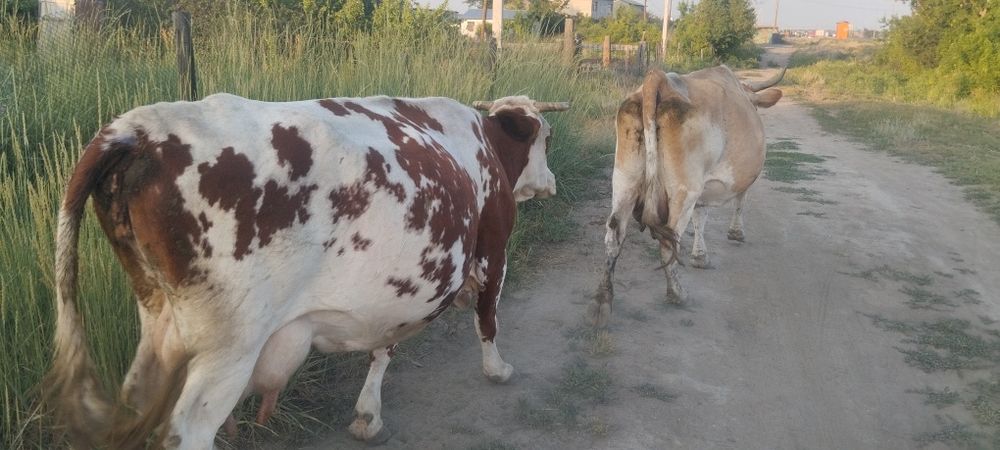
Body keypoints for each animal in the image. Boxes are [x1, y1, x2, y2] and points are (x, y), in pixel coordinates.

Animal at [45, 93, 569, 449]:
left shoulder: (398, 289)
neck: (479, 142)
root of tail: (137, 130)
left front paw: (368, 417)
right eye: (544, 136)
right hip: (230, 344)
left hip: (160, 318)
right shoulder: (493, 249)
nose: (552, 183)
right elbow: (487, 316)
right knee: (188, 428)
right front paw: (497, 370)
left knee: (138, 392)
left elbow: (385, 347)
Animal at [591, 66, 784, 327]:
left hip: (624, 178)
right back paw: (677, 294)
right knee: (668, 242)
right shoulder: (733, 182)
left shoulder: (702, 188)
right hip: (684, 189)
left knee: (614, 236)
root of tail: (659, 79)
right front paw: (735, 233)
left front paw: (700, 257)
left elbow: (700, 218)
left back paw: (602, 302)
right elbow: (738, 203)